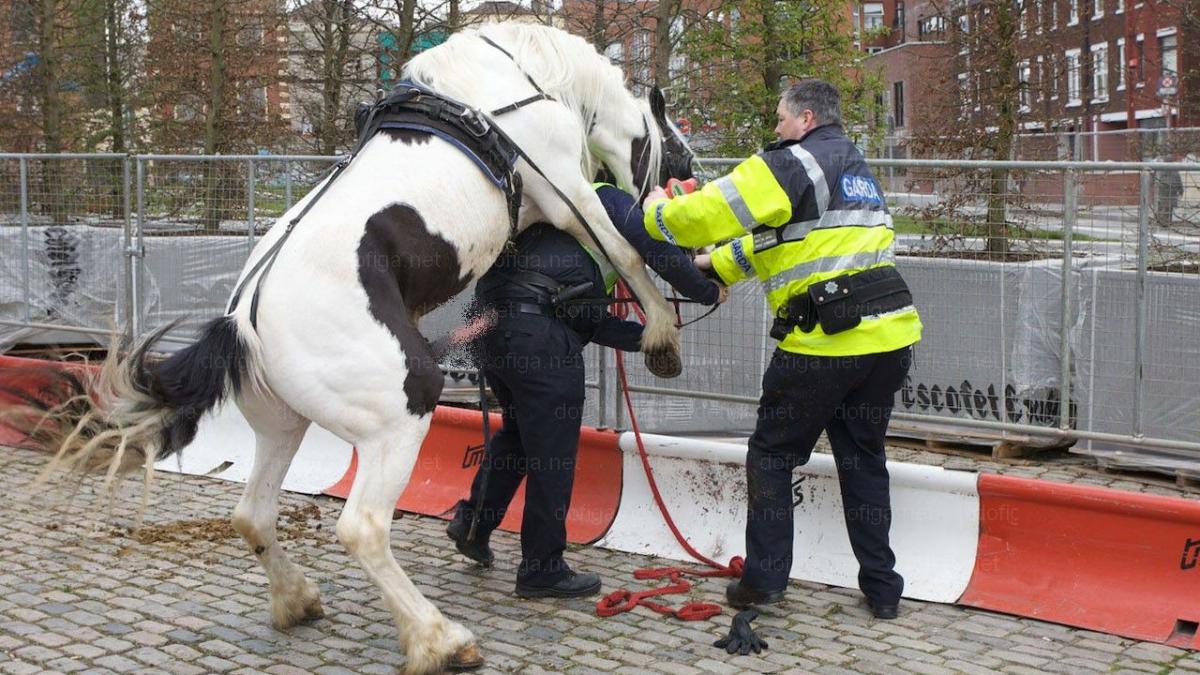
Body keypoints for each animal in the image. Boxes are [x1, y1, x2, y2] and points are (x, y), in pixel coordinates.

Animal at [14, 21, 696, 672]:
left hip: (284, 427)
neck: (514, 77)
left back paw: (297, 600)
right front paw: (662, 333)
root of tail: (243, 325)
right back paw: (438, 640)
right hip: (400, 419)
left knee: (253, 514)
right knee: (363, 528)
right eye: (677, 145)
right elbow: (625, 251)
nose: (689, 180)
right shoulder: (566, 195)